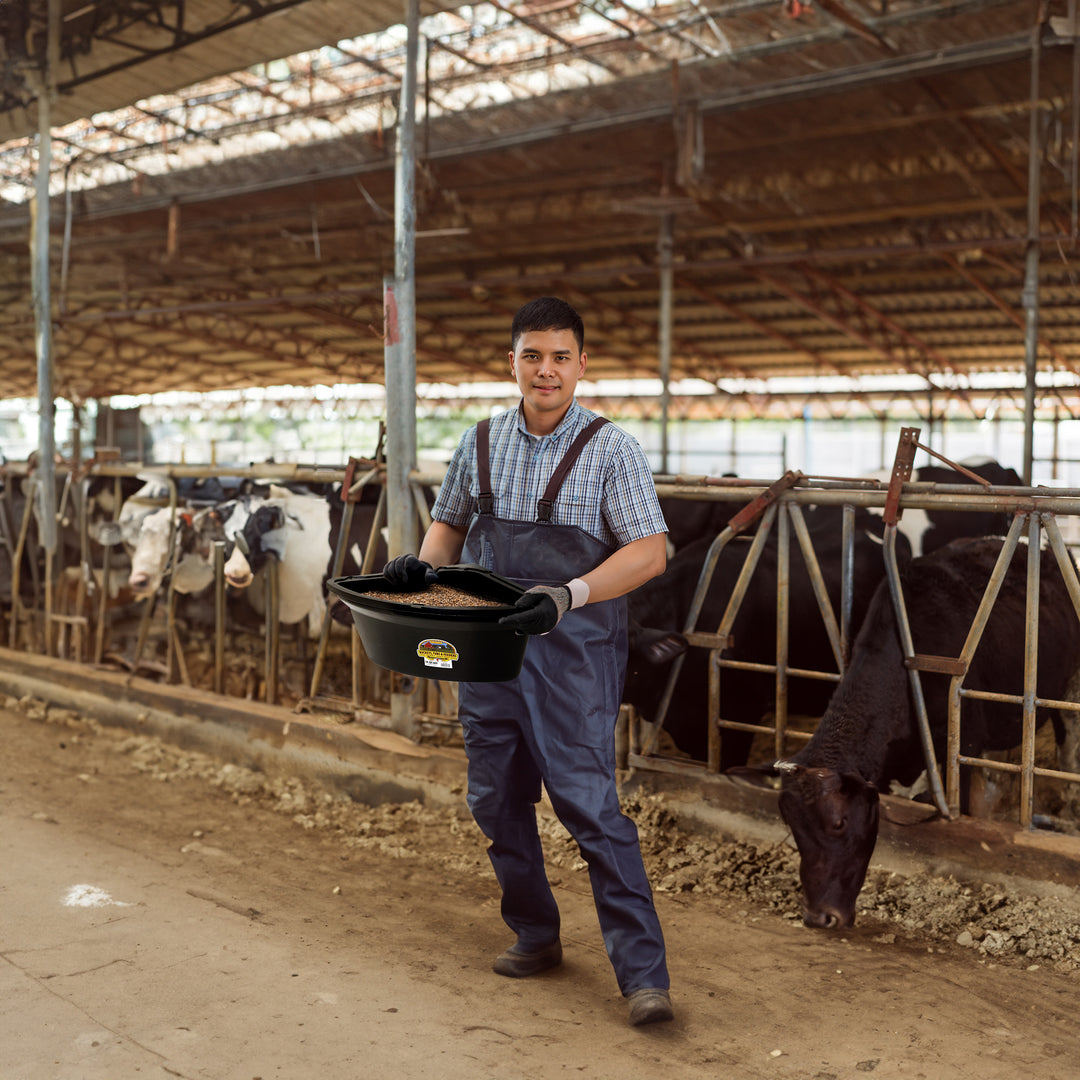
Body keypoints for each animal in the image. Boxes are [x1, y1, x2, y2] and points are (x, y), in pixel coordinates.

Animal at [760, 535, 1080, 933]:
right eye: (791, 824)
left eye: (838, 823)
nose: (819, 917)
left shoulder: (964, 742)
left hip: (1069, 686)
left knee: (1069, 750)